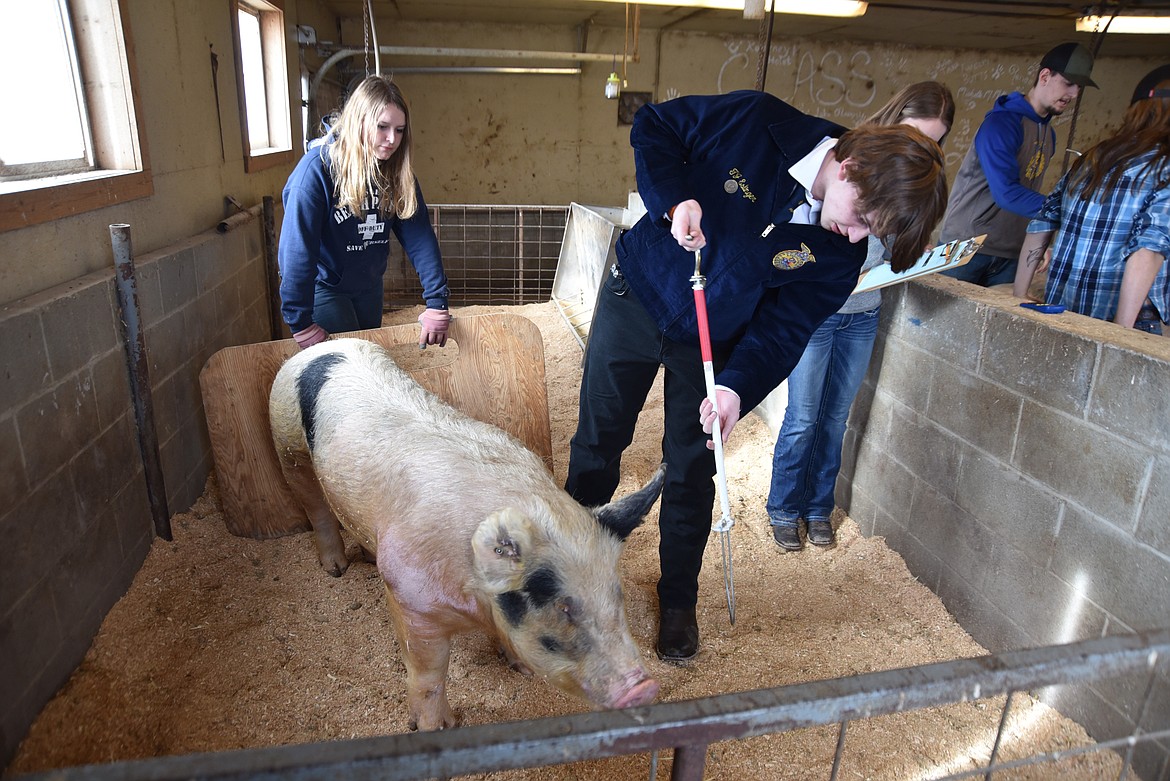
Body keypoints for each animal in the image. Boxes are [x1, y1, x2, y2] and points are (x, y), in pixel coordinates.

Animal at [267, 339, 669, 729]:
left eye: (617, 595)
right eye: (562, 606)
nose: (645, 688)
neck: (475, 599)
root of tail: (320, 347)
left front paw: (521, 670)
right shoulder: (410, 599)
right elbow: (428, 675)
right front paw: (438, 726)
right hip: (287, 443)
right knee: (315, 506)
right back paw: (335, 569)